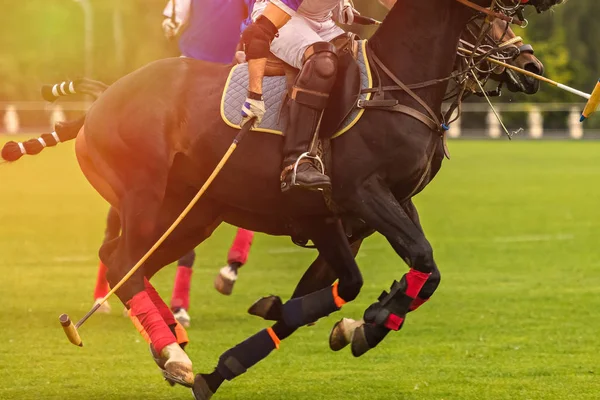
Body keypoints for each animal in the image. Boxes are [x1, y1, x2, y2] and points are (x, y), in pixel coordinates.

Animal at [1, 0, 564, 396]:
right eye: (485, 23)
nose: (530, 64)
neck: (396, 86)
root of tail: (98, 104)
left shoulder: (379, 207)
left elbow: (387, 280)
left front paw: (355, 325)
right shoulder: (355, 197)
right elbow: (394, 269)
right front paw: (360, 321)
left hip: (193, 213)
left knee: (131, 263)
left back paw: (172, 344)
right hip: (147, 197)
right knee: (123, 259)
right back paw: (174, 352)